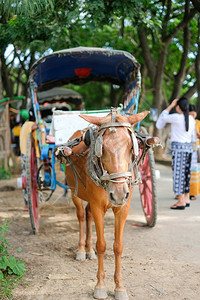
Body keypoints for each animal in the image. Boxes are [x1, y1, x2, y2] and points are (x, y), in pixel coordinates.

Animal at [63, 109, 149, 298]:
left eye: (132, 147)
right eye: (101, 149)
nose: (118, 194)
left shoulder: (123, 208)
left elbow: (118, 246)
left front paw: (120, 287)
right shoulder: (98, 206)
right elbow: (101, 245)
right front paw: (100, 286)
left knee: (87, 216)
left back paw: (89, 251)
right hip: (74, 191)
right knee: (81, 215)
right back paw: (82, 250)